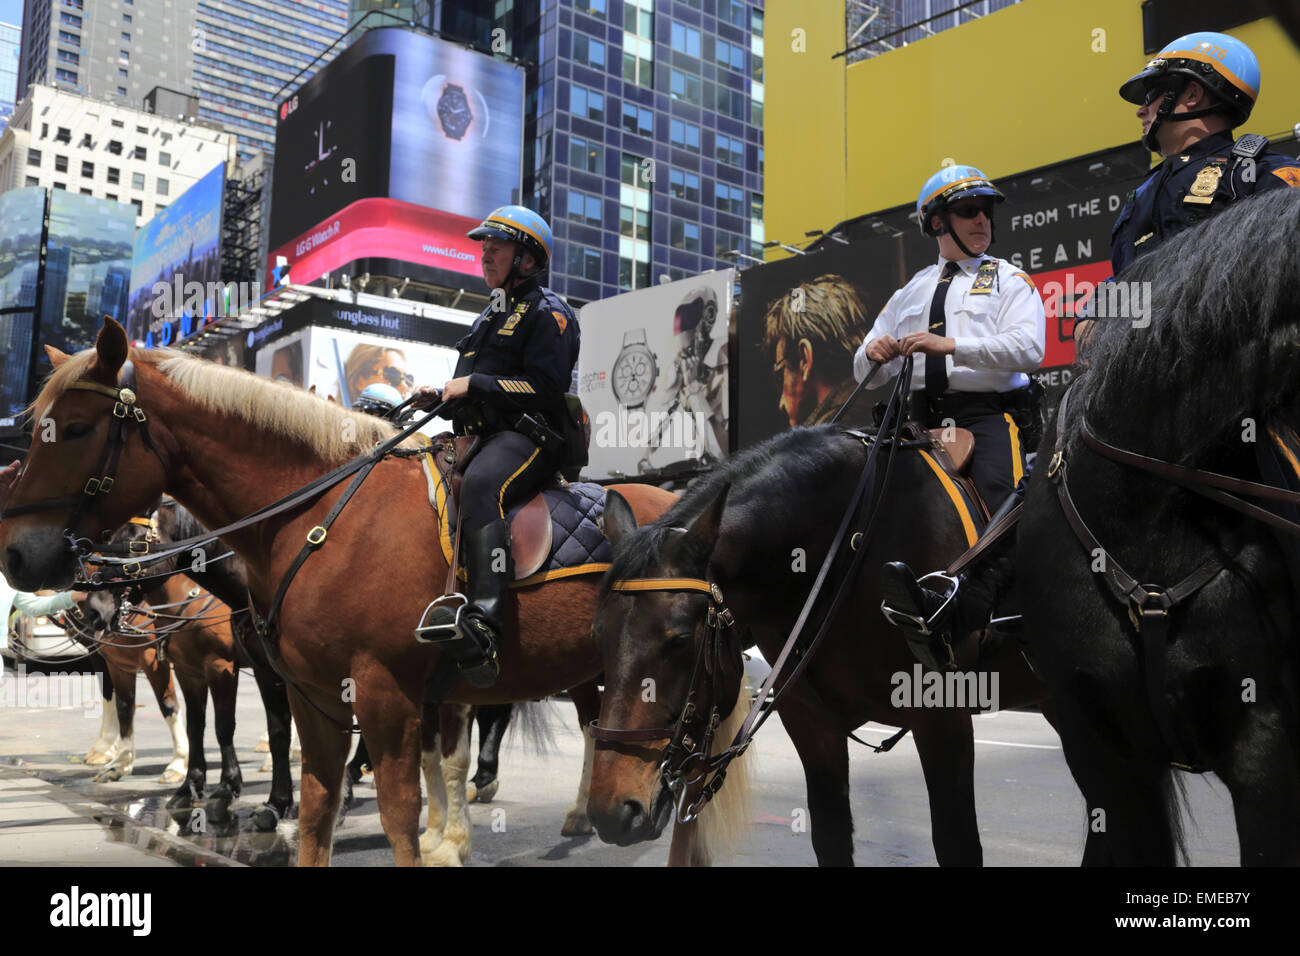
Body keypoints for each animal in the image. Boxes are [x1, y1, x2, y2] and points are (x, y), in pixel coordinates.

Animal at [0, 321, 696, 868]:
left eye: (77, 428)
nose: (17, 554)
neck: (323, 512)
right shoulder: (311, 693)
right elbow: (309, 802)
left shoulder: (383, 694)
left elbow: (397, 811)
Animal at [585, 421, 1050, 863]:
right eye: (597, 636)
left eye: (680, 639)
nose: (611, 813)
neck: (848, 550)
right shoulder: (812, 725)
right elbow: (830, 839)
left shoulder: (942, 720)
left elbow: (957, 845)